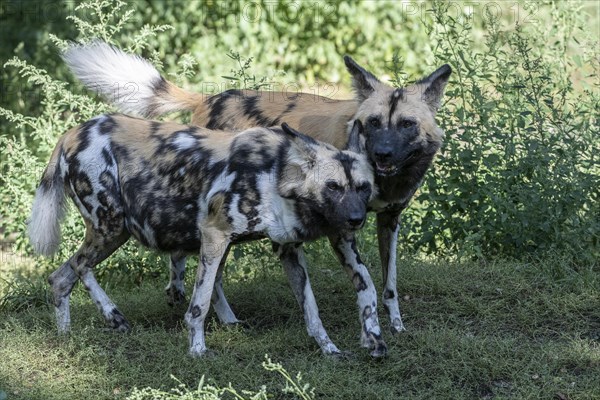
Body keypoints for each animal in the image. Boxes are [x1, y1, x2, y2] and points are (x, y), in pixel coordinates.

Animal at [27, 115, 384, 356]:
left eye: (363, 187)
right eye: (333, 187)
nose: (356, 220)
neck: (278, 174)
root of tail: (72, 134)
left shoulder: (288, 250)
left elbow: (312, 309)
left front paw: (330, 349)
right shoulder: (215, 234)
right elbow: (198, 305)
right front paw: (197, 351)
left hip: (113, 232)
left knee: (61, 277)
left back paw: (68, 337)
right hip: (112, 227)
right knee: (77, 267)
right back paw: (108, 320)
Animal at [64, 40, 450, 340]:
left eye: (407, 124)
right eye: (373, 122)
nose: (382, 153)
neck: (388, 178)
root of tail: (208, 99)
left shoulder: (389, 219)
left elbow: (389, 282)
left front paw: (395, 325)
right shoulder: (341, 230)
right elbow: (365, 279)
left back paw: (181, 295)